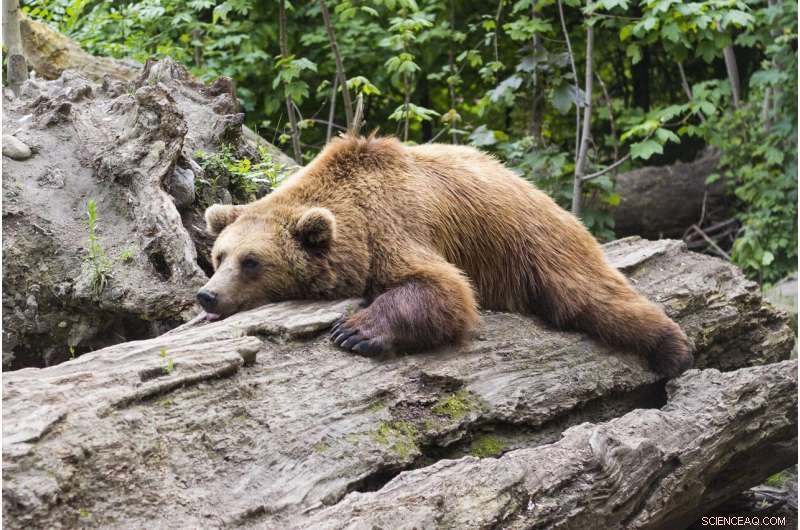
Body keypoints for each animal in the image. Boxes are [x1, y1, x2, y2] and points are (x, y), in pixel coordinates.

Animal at [199, 134, 693, 377]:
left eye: (251, 261)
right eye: (219, 256)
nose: (208, 295)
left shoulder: (394, 227)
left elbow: (444, 289)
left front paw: (354, 332)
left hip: (535, 243)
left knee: (591, 296)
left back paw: (674, 348)